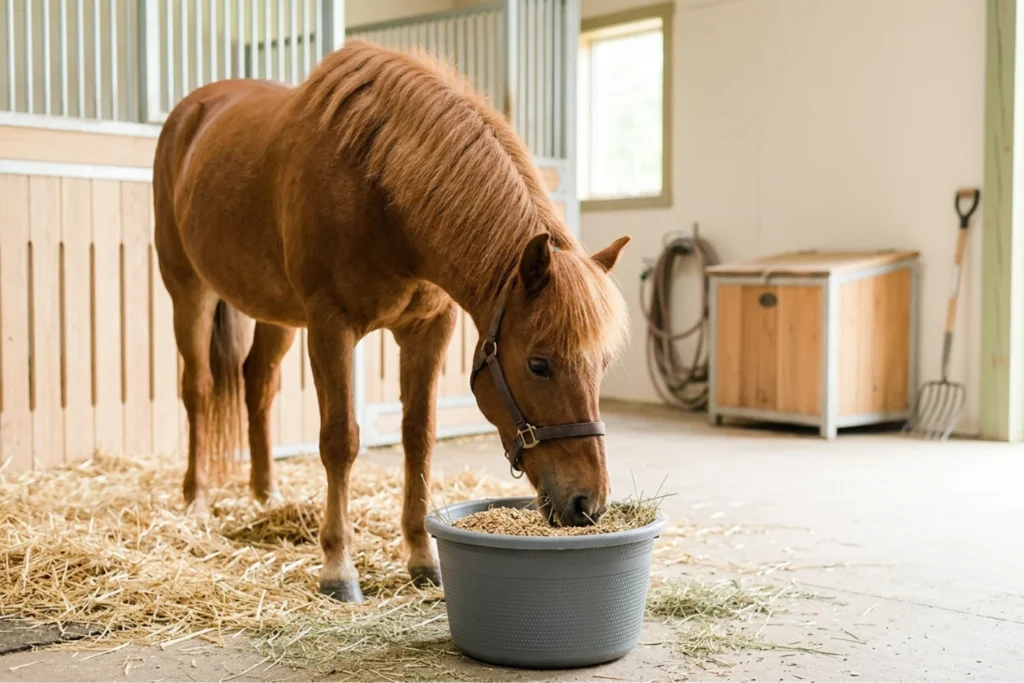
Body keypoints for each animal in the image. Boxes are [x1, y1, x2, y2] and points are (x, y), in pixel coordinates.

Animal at [152, 39, 631, 603]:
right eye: (539, 364)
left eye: (602, 364)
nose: (587, 504)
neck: (379, 191)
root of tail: (192, 111)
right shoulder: (330, 326)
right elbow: (340, 440)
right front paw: (338, 568)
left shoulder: (428, 329)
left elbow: (418, 437)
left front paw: (422, 559)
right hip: (189, 290)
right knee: (199, 389)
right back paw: (196, 499)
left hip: (276, 312)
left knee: (258, 383)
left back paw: (266, 496)